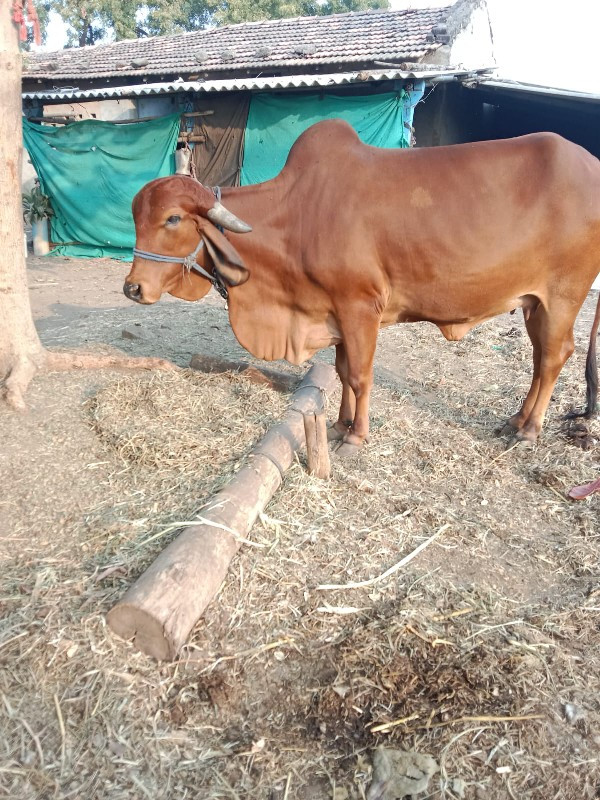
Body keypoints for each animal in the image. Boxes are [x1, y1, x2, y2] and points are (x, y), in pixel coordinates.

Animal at [124, 119, 596, 456]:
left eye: (172, 219)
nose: (133, 288)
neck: (297, 215)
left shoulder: (360, 308)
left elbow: (361, 375)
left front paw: (357, 436)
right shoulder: (333, 313)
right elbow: (342, 371)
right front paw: (337, 425)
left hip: (563, 296)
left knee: (554, 356)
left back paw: (529, 430)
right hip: (533, 303)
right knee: (538, 359)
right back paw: (515, 420)